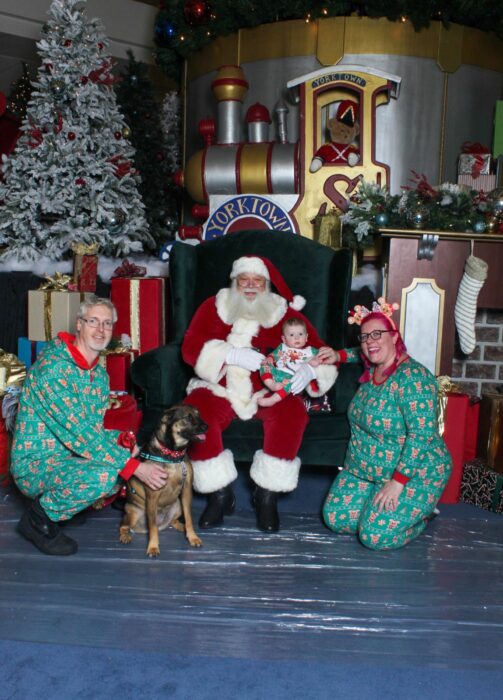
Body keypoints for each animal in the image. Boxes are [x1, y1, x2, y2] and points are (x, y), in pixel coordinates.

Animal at [119, 404, 208, 556]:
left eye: (198, 415)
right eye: (188, 417)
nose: (206, 426)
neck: (173, 454)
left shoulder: (186, 490)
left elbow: (189, 518)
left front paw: (192, 537)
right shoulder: (153, 493)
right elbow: (152, 526)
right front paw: (153, 547)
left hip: (178, 505)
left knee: (173, 521)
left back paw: (181, 527)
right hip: (133, 512)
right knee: (124, 526)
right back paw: (125, 536)